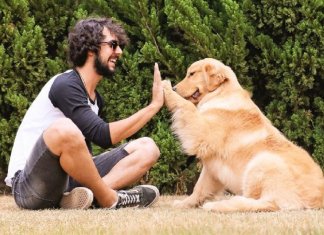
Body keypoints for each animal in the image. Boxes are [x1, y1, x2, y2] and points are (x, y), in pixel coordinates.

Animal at [163, 57, 324, 212]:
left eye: (192, 74)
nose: (175, 88)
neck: (220, 93)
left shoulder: (202, 131)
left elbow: (186, 106)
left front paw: (165, 88)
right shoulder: (212, 167)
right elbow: (199, 188)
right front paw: (184, 204)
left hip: (262, 162)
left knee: (266, 204)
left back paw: (217, 205)